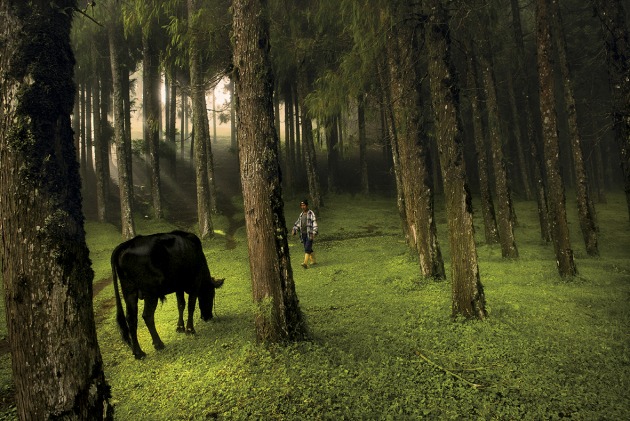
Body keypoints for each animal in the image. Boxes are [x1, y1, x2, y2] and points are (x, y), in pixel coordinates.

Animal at [112, 230, 226, 358]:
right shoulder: (195, 283)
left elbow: (181, 305)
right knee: (147, 316)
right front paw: (190, 329)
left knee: (131, 319)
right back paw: (158, 344)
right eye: (211, 295)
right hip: (150, 293)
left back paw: (138, 353)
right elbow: (191, 306)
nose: (208, 317)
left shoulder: (179, 286)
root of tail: (127, 244)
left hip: (129, 292)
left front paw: (180, 327)